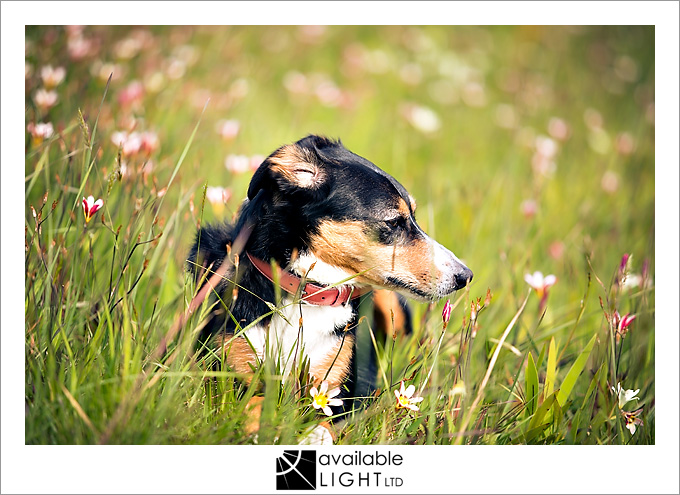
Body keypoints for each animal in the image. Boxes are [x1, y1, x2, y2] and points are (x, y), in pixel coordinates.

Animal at [187, 135, 472, 438]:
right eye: (394, 222)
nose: (465, 276)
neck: (307, 293)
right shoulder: (222, 374)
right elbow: (254, 401)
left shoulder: (341, 394)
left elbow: (324, 425)